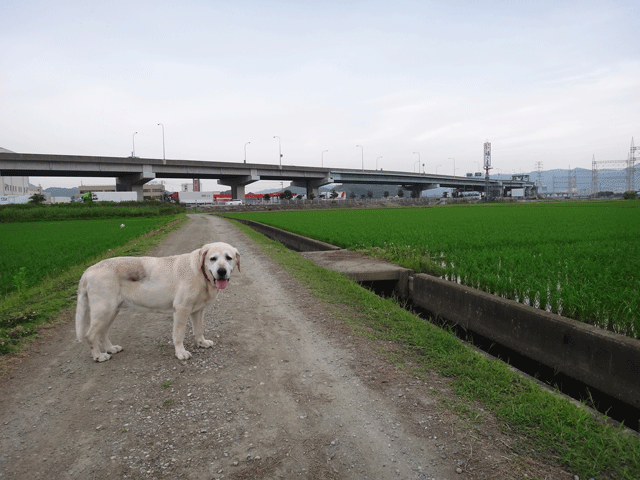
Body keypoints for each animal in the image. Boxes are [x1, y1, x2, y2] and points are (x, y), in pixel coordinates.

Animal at [76, 244, 241, 360]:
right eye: (213, 258)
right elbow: (179, 334)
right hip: (104, 310)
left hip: (111, 311)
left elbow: (199, 330)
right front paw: (180, 352)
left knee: (102, 333)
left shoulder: (197, 311)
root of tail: (87, 271)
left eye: (229, 258)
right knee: (90, 335)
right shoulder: (181, 309)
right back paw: (99, 356)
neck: (201, 273)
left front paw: (202, 343)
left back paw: (110, 348)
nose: (221, 271)